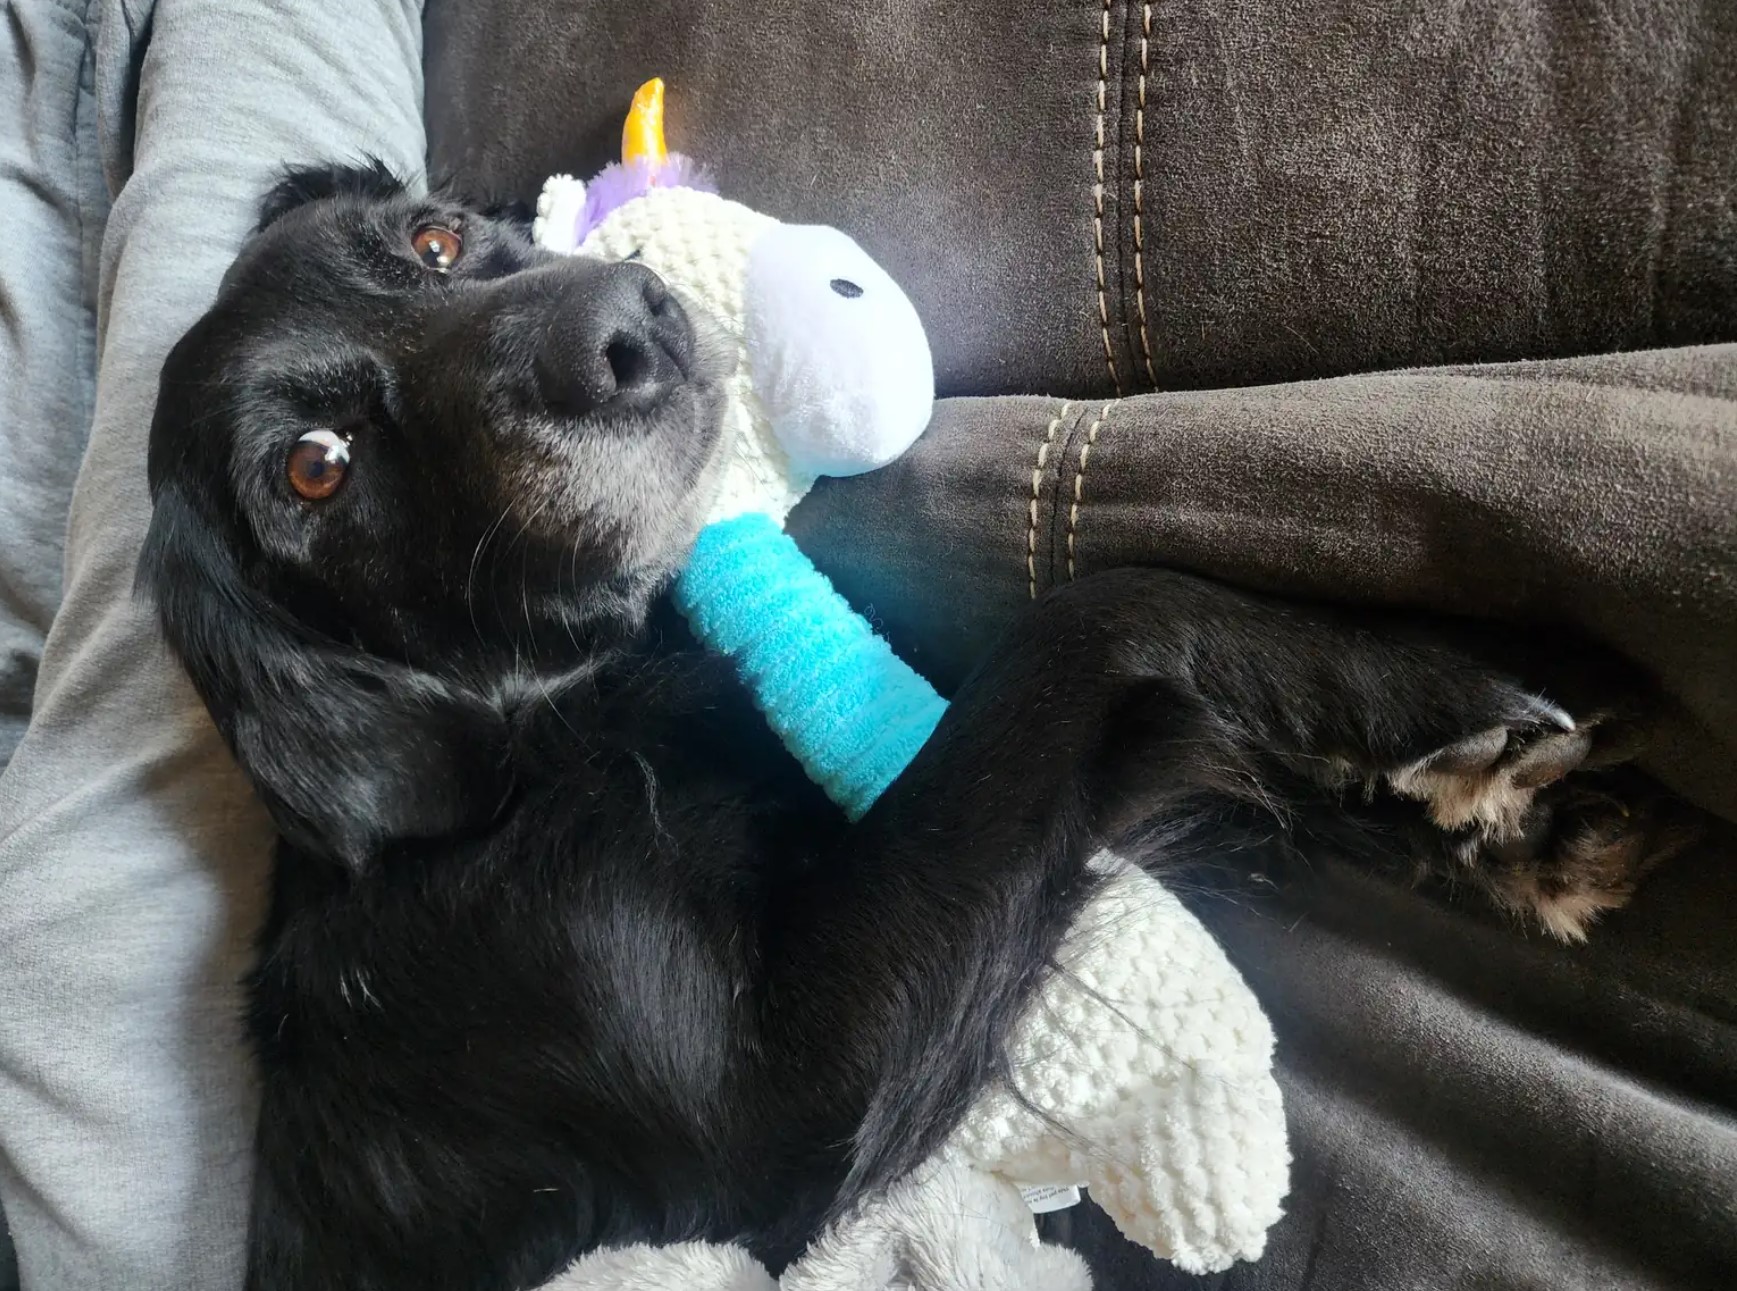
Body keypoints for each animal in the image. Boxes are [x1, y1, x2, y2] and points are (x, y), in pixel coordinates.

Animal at [142, 164, 1688, 1291]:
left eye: (434, 237)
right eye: (315, 468)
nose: (623, 325)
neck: (546, 753)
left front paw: (1500, 789)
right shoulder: (779, 1099)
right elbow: (1096, 616)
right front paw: (1428, 705)